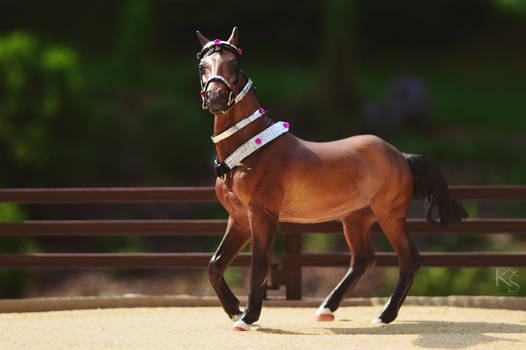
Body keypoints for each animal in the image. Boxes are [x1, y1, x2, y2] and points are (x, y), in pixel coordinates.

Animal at [198, 27, 470, 330]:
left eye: (234, 65)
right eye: (202, 66)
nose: (215, 98)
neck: (248, 153)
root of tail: (402, 156)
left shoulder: (262, 215)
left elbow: (259, 266)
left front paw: (247, 318)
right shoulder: (239, 219)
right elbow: (215, 264)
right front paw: (235, 309)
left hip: (390, 217)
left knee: (409, 260)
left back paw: (383, 315)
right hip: (356, 219)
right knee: (363, 260)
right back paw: (326, 309)